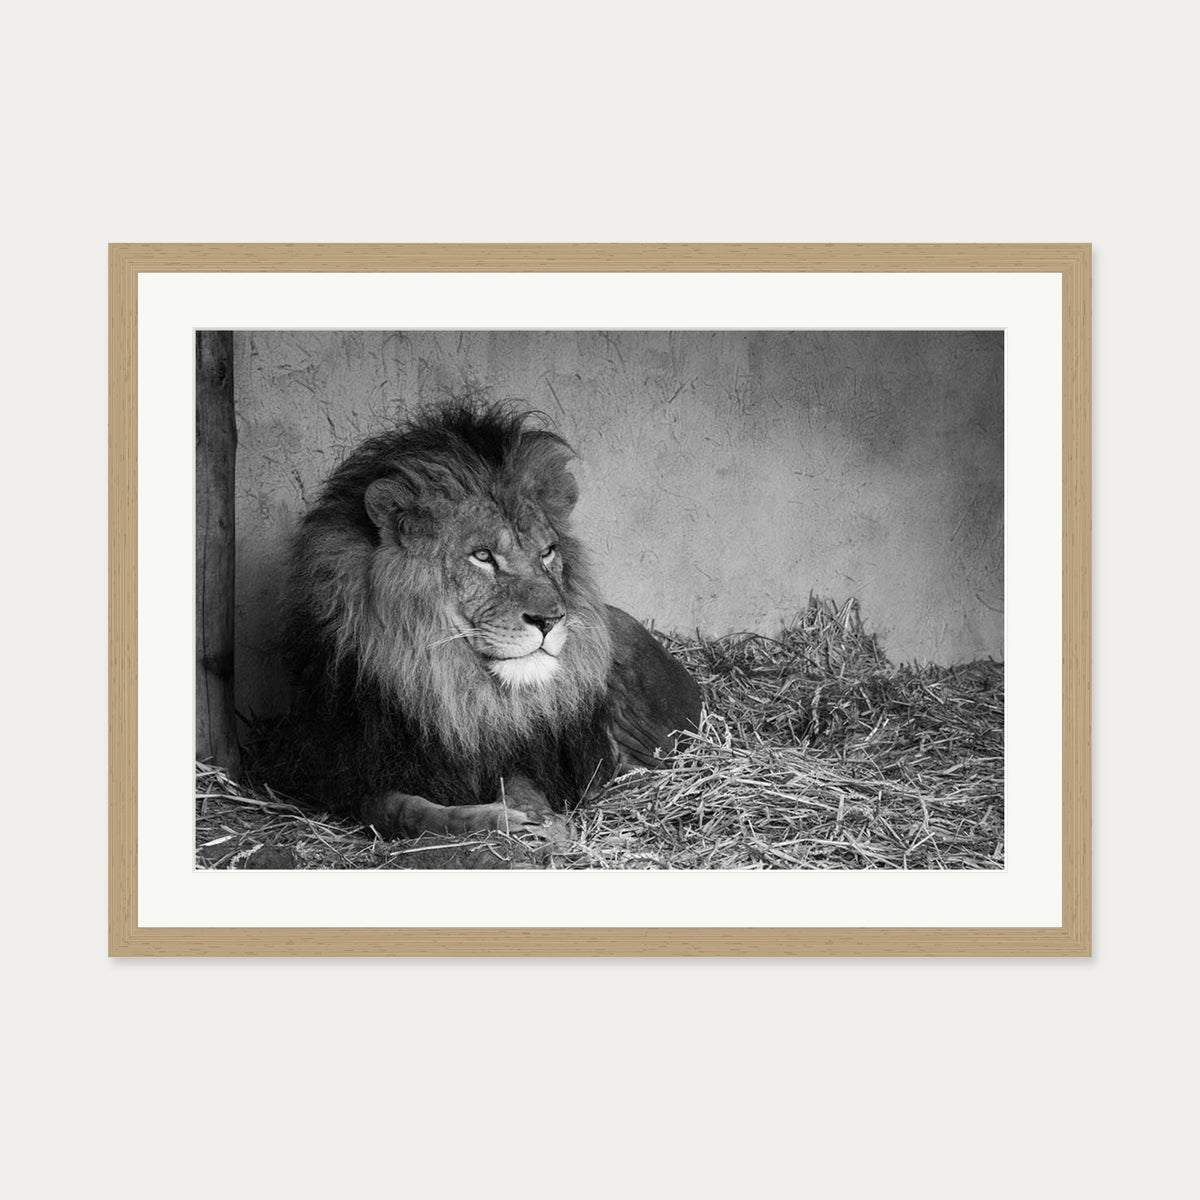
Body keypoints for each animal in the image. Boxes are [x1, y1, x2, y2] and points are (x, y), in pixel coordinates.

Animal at [284, 401, 702, 841]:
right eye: (482, 556)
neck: (452, 688)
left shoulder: (523, 755)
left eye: (547, 552)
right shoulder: (350, 776)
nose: (550, 619)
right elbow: (406, 811)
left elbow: (522, 785)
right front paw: (494, 818)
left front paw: (543, 821)